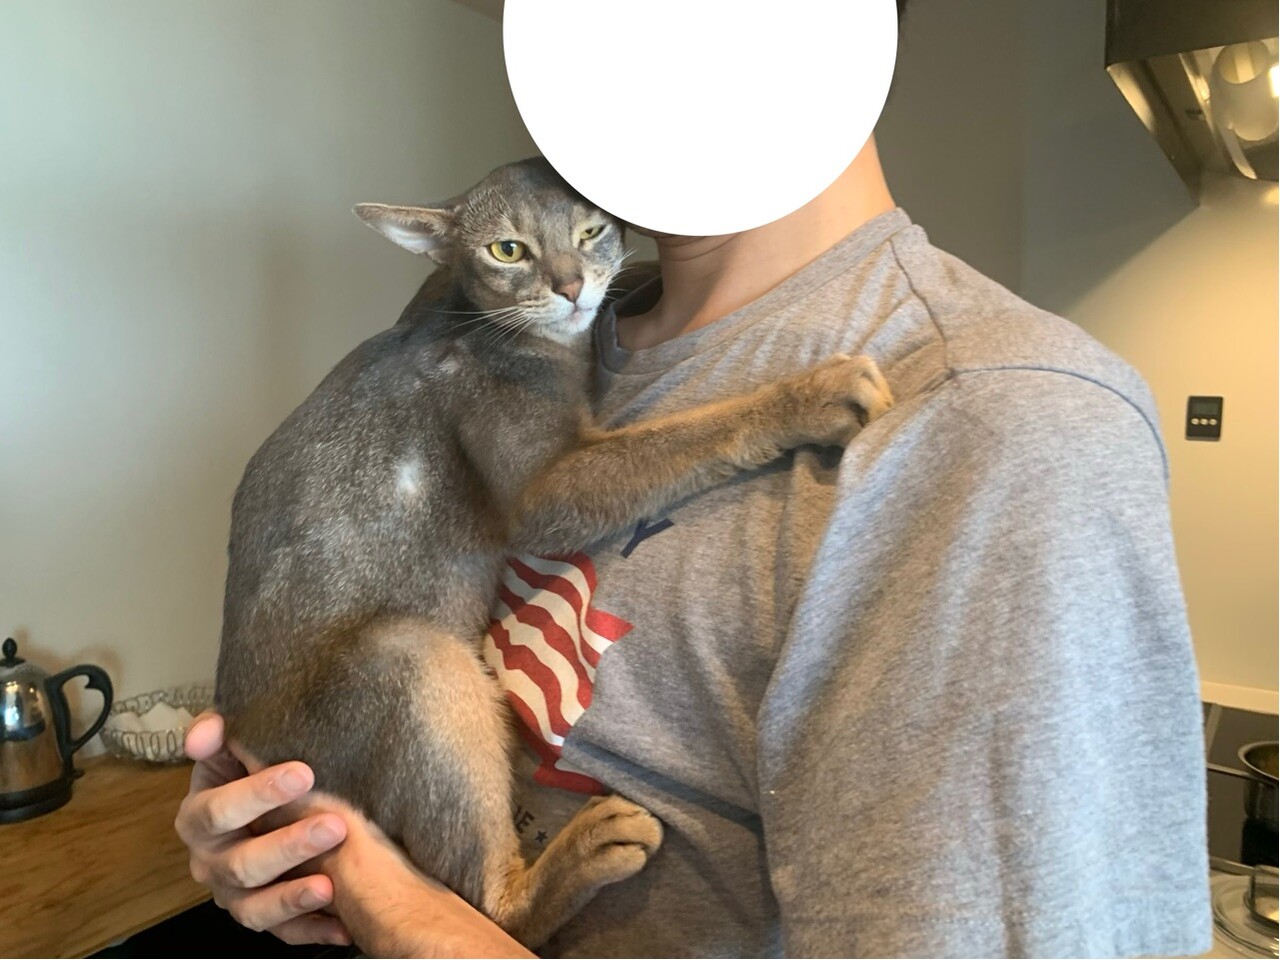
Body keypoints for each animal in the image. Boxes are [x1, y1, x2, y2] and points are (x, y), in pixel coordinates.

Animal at [215, 157, 893, 948]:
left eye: (591, 230)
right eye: (508, 251)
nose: (570, 286)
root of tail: (242, 734)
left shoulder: (429, 298)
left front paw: (633, 274)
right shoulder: (545, 488)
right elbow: (682, 437)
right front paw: (806, 397)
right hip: (412, 657)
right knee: (486, 904)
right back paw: (577, 859)